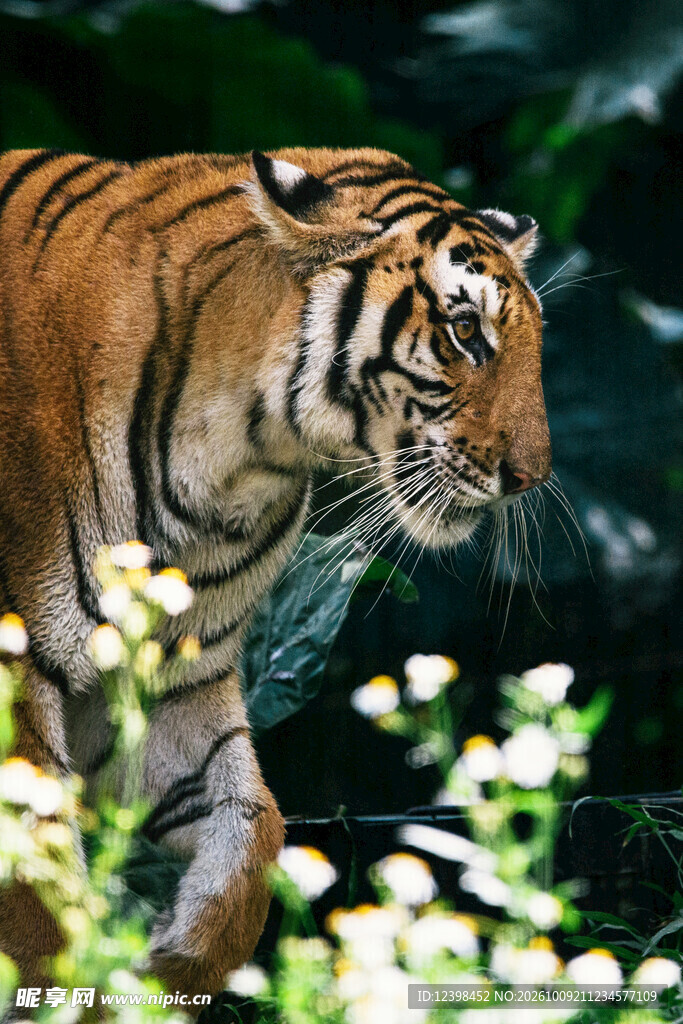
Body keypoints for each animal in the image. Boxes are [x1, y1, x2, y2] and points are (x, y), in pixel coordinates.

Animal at [0, 146, 550, 1005]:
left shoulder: (168, 681)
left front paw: (174, 963)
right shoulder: (18, 674)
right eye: (465, 331)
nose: (533, 476)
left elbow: (256, 829)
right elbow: (33, 899)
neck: (238, 459)